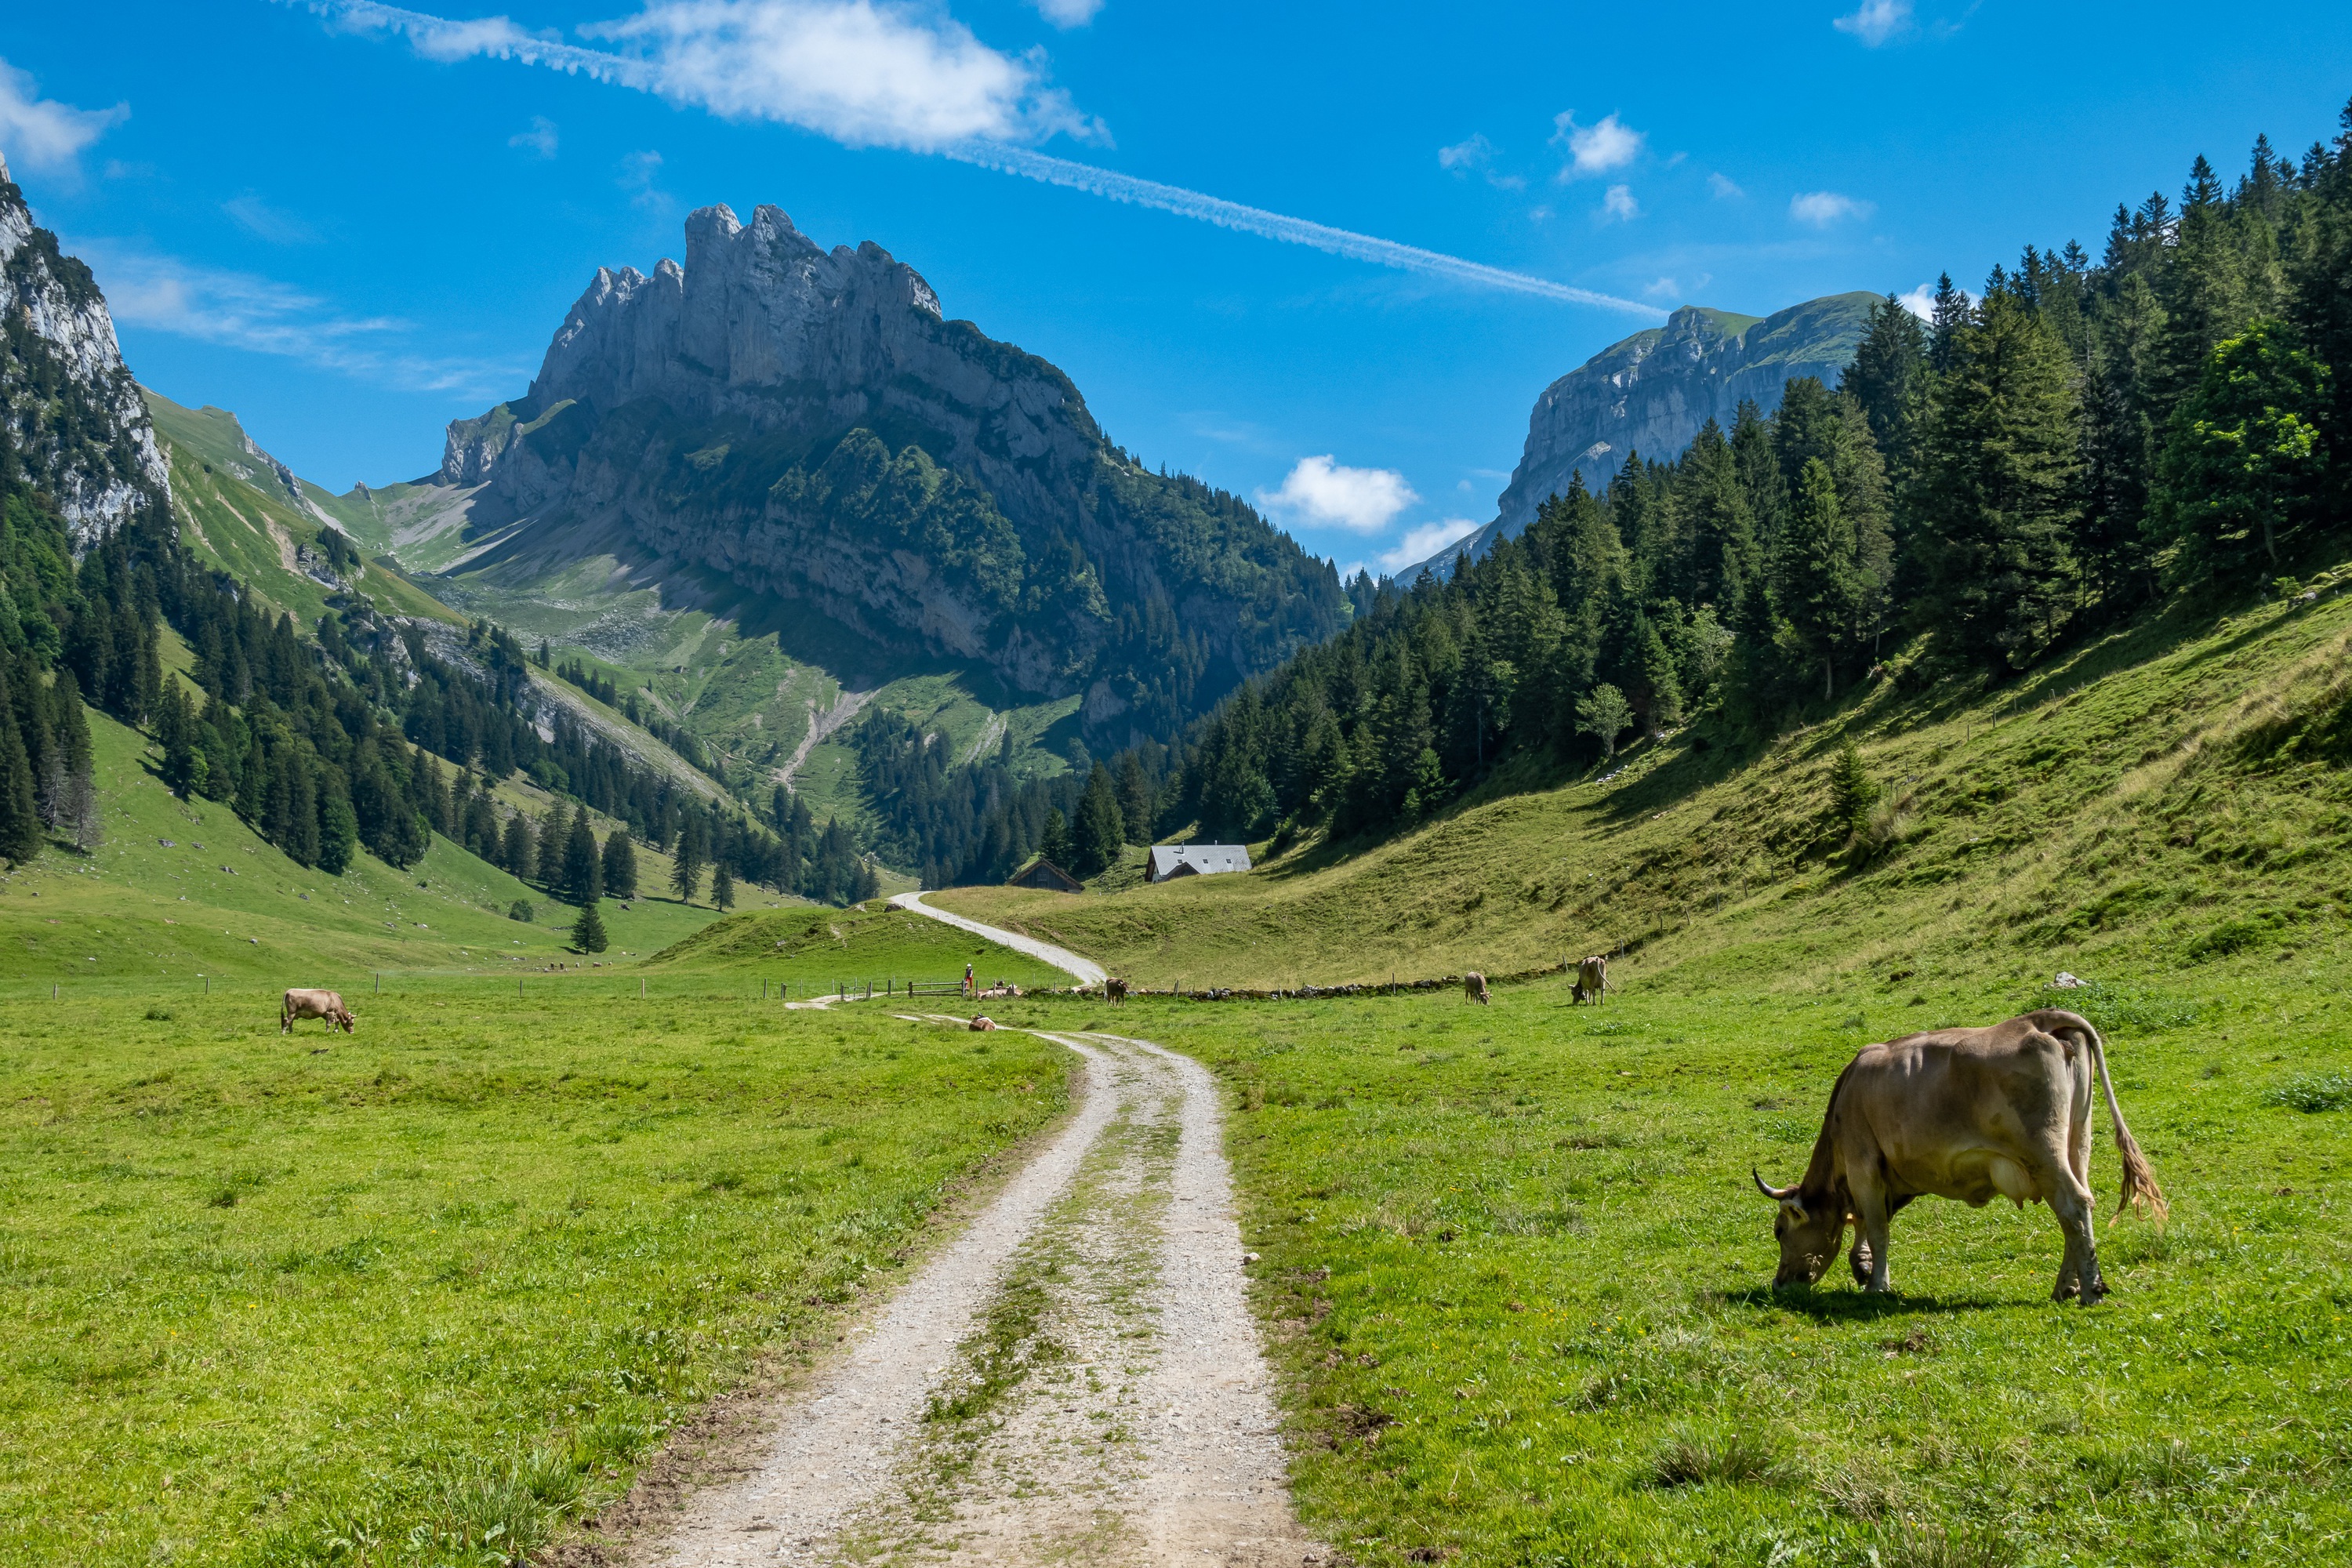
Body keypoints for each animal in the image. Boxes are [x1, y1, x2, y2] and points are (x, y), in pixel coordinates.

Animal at [1753, 1009, 2165, 1305]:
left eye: (1779, 1231)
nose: (1778, 1284)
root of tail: (2039, 1019)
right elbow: (1868, 1222)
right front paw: (1863, 1266)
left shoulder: (1863, 1162)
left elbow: (1878, 1226)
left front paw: (1877, 1285)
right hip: (2076, 1143)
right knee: (2078, 1211)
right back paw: (2067, 1287)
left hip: (2043, 1152)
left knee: (2073, 1205)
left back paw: (2090, 1291)